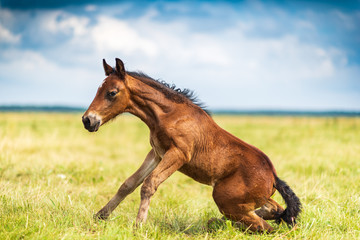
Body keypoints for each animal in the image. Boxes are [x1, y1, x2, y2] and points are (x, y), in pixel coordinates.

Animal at [81, 58, 300, 232]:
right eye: (99, 90)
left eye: (112, 92)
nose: (88, 120)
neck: (169, 115)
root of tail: (273, 178)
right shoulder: (157, 153)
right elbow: (129, 184)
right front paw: (100, 216)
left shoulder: (178, 154)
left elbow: (149, 184)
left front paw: (138, 226)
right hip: (242, 203)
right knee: (276, 210)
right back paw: (217, 222)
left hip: (226, 200)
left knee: (266, 228)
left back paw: (217, 224)